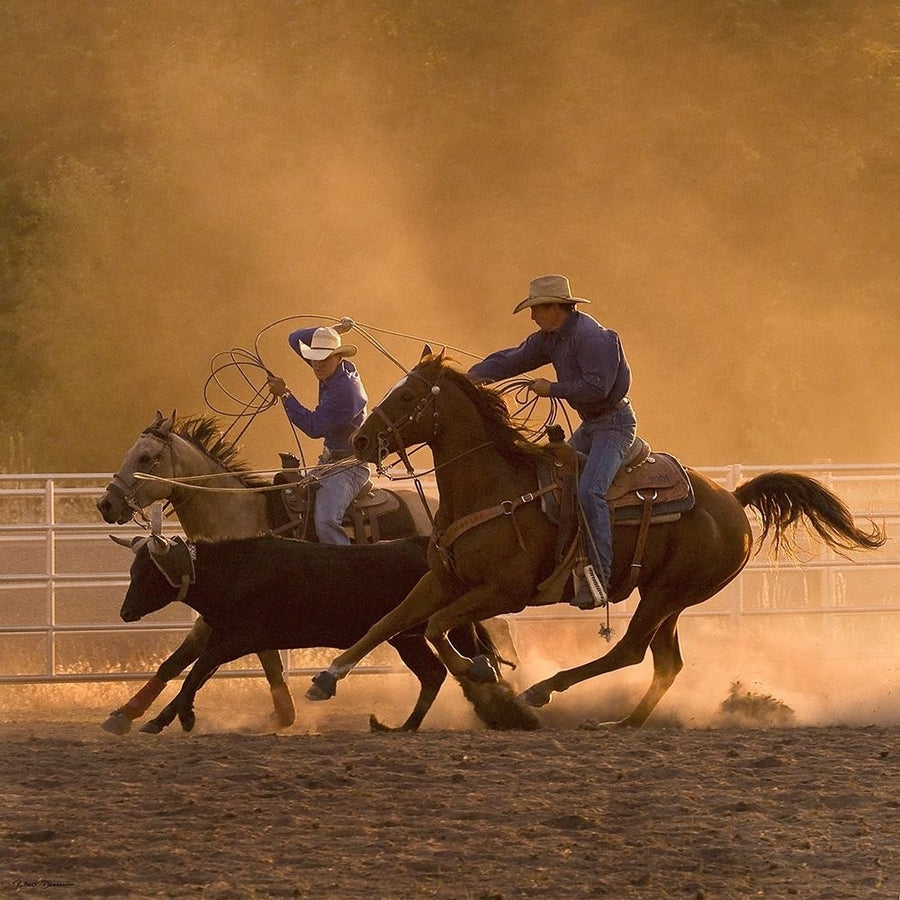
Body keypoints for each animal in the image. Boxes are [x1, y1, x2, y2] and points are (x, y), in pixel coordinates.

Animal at [308, 352, 884, 724]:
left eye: (406, 394)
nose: (360, 440)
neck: (492, 486)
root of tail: (733, 498)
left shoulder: (505, 592)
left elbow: (436, 628)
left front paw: (484, 675)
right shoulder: (442, 579)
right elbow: (390, 620)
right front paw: (328, 676)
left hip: (668, 592)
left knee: (630, 650)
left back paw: (542, 691)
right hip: (667, 596)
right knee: (665, 662)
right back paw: (623, 723)